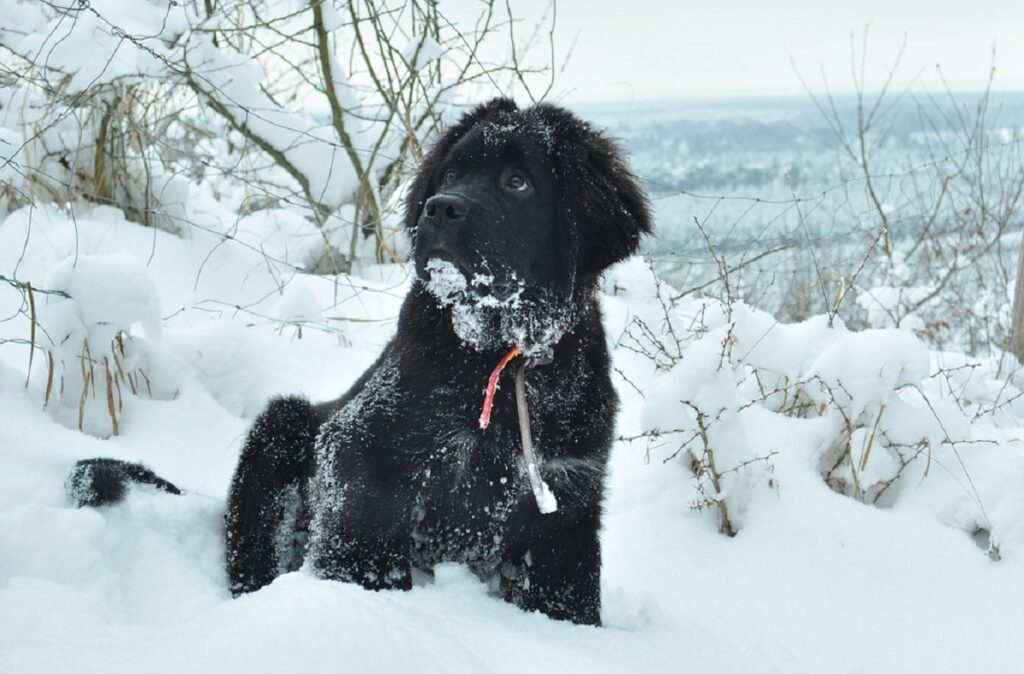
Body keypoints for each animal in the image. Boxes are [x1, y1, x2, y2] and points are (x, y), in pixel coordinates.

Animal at [70, 99, 647, 622]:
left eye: (517, 181)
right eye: (452, 172)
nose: (440, 207)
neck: (494, 356)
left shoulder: (567, 500)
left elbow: (568, 596)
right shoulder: (361, 452)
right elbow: (363, 552)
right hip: (279, 429)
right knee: (250, 554)